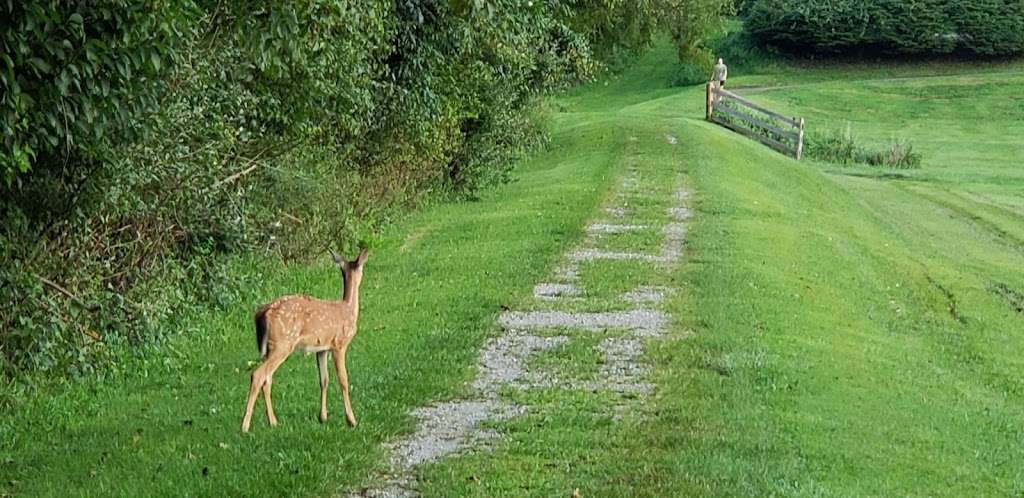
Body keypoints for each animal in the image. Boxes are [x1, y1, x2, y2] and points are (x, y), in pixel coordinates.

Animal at [239, 247, 368, 432]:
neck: (348, 310)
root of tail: (263, 313)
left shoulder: (322, 349)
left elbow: (324, 380)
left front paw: (323, 417)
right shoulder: (339, 344)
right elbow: (343, 380)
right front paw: (351, 420)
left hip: (271, 347)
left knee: (267, 378)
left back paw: (273, 422)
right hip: (283, 344)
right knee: (258, 375)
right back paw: (245, 426)